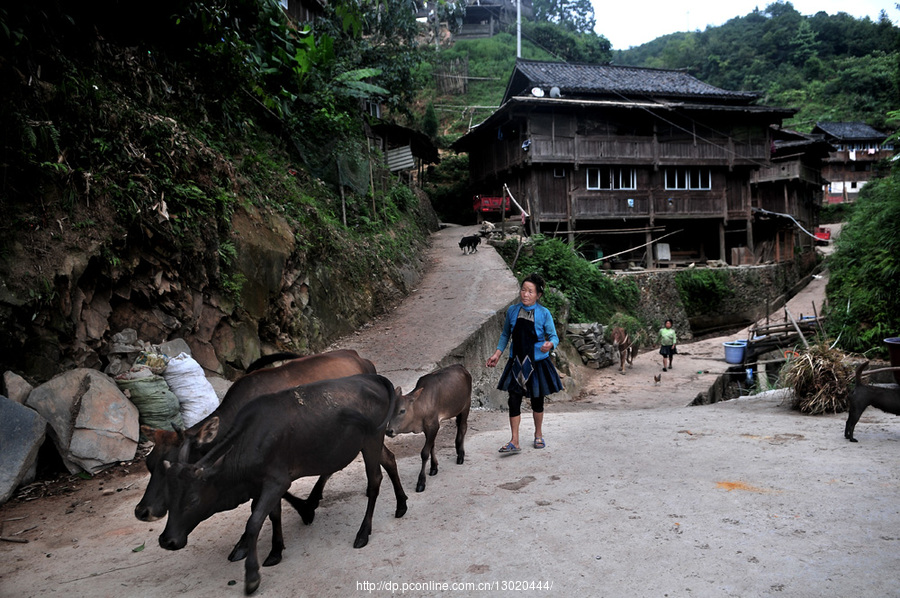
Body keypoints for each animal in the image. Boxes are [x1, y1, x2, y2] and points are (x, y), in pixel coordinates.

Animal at [159, 376, 408, 596]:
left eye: (193, 500)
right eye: (169, 496)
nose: (166, 541)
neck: (249, 440)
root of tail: (374, 378)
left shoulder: (276, 482)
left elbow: (254, 523)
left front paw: (252, 577)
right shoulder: (263, 486)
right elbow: (273, 514)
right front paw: (276, 550)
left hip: (372, 440)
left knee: (374, 480)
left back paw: (363, 532)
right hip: (372, 443)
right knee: (390, 460)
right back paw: (401, 505)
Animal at [384, 364, 472, 494]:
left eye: (402, 410)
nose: (389, 431)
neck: (421, 406)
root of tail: (461, 367)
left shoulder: (433, 426)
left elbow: (425, 452)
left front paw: (421, 482)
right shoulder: (427, 429)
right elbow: (432, 446)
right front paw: (434, 467)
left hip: (466, 405)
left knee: (463, 427)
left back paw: (460, 455)